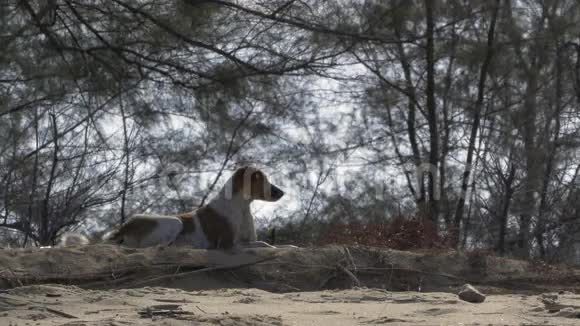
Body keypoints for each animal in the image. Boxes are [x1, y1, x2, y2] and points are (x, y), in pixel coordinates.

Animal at [107, 167, 286, 251]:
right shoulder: (227, 244)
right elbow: (263, 245)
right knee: (155, 247)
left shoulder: (246, 240)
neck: (242, 207)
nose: (283, 193)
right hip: (175, 222)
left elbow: (272, 244)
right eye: (260, 180)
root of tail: (125, 226)